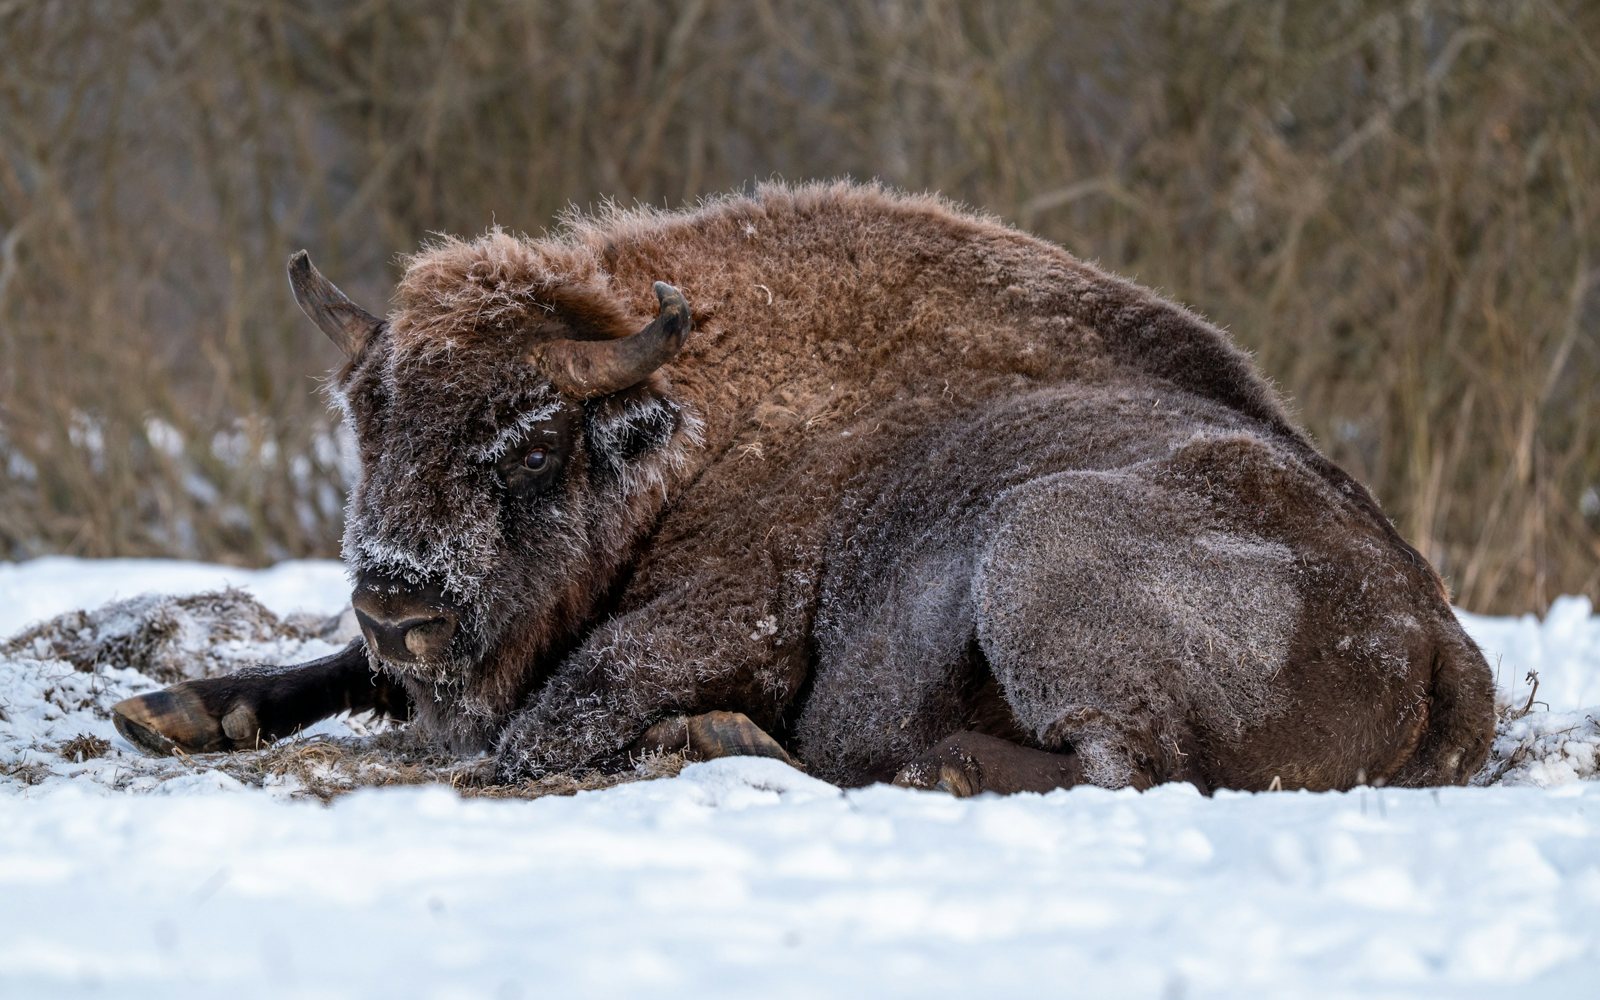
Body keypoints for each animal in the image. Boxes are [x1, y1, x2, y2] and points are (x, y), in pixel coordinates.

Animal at [113, 182, 1494, 795]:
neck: (689, 431)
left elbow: (543, 721)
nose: (401, 604)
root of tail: (1435, 632)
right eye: (367, 420)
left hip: (1038, 543)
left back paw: (829, 754)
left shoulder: (723, 617)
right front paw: (172, 708)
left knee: (1122, 760)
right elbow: (341, 670)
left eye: (536, 447)